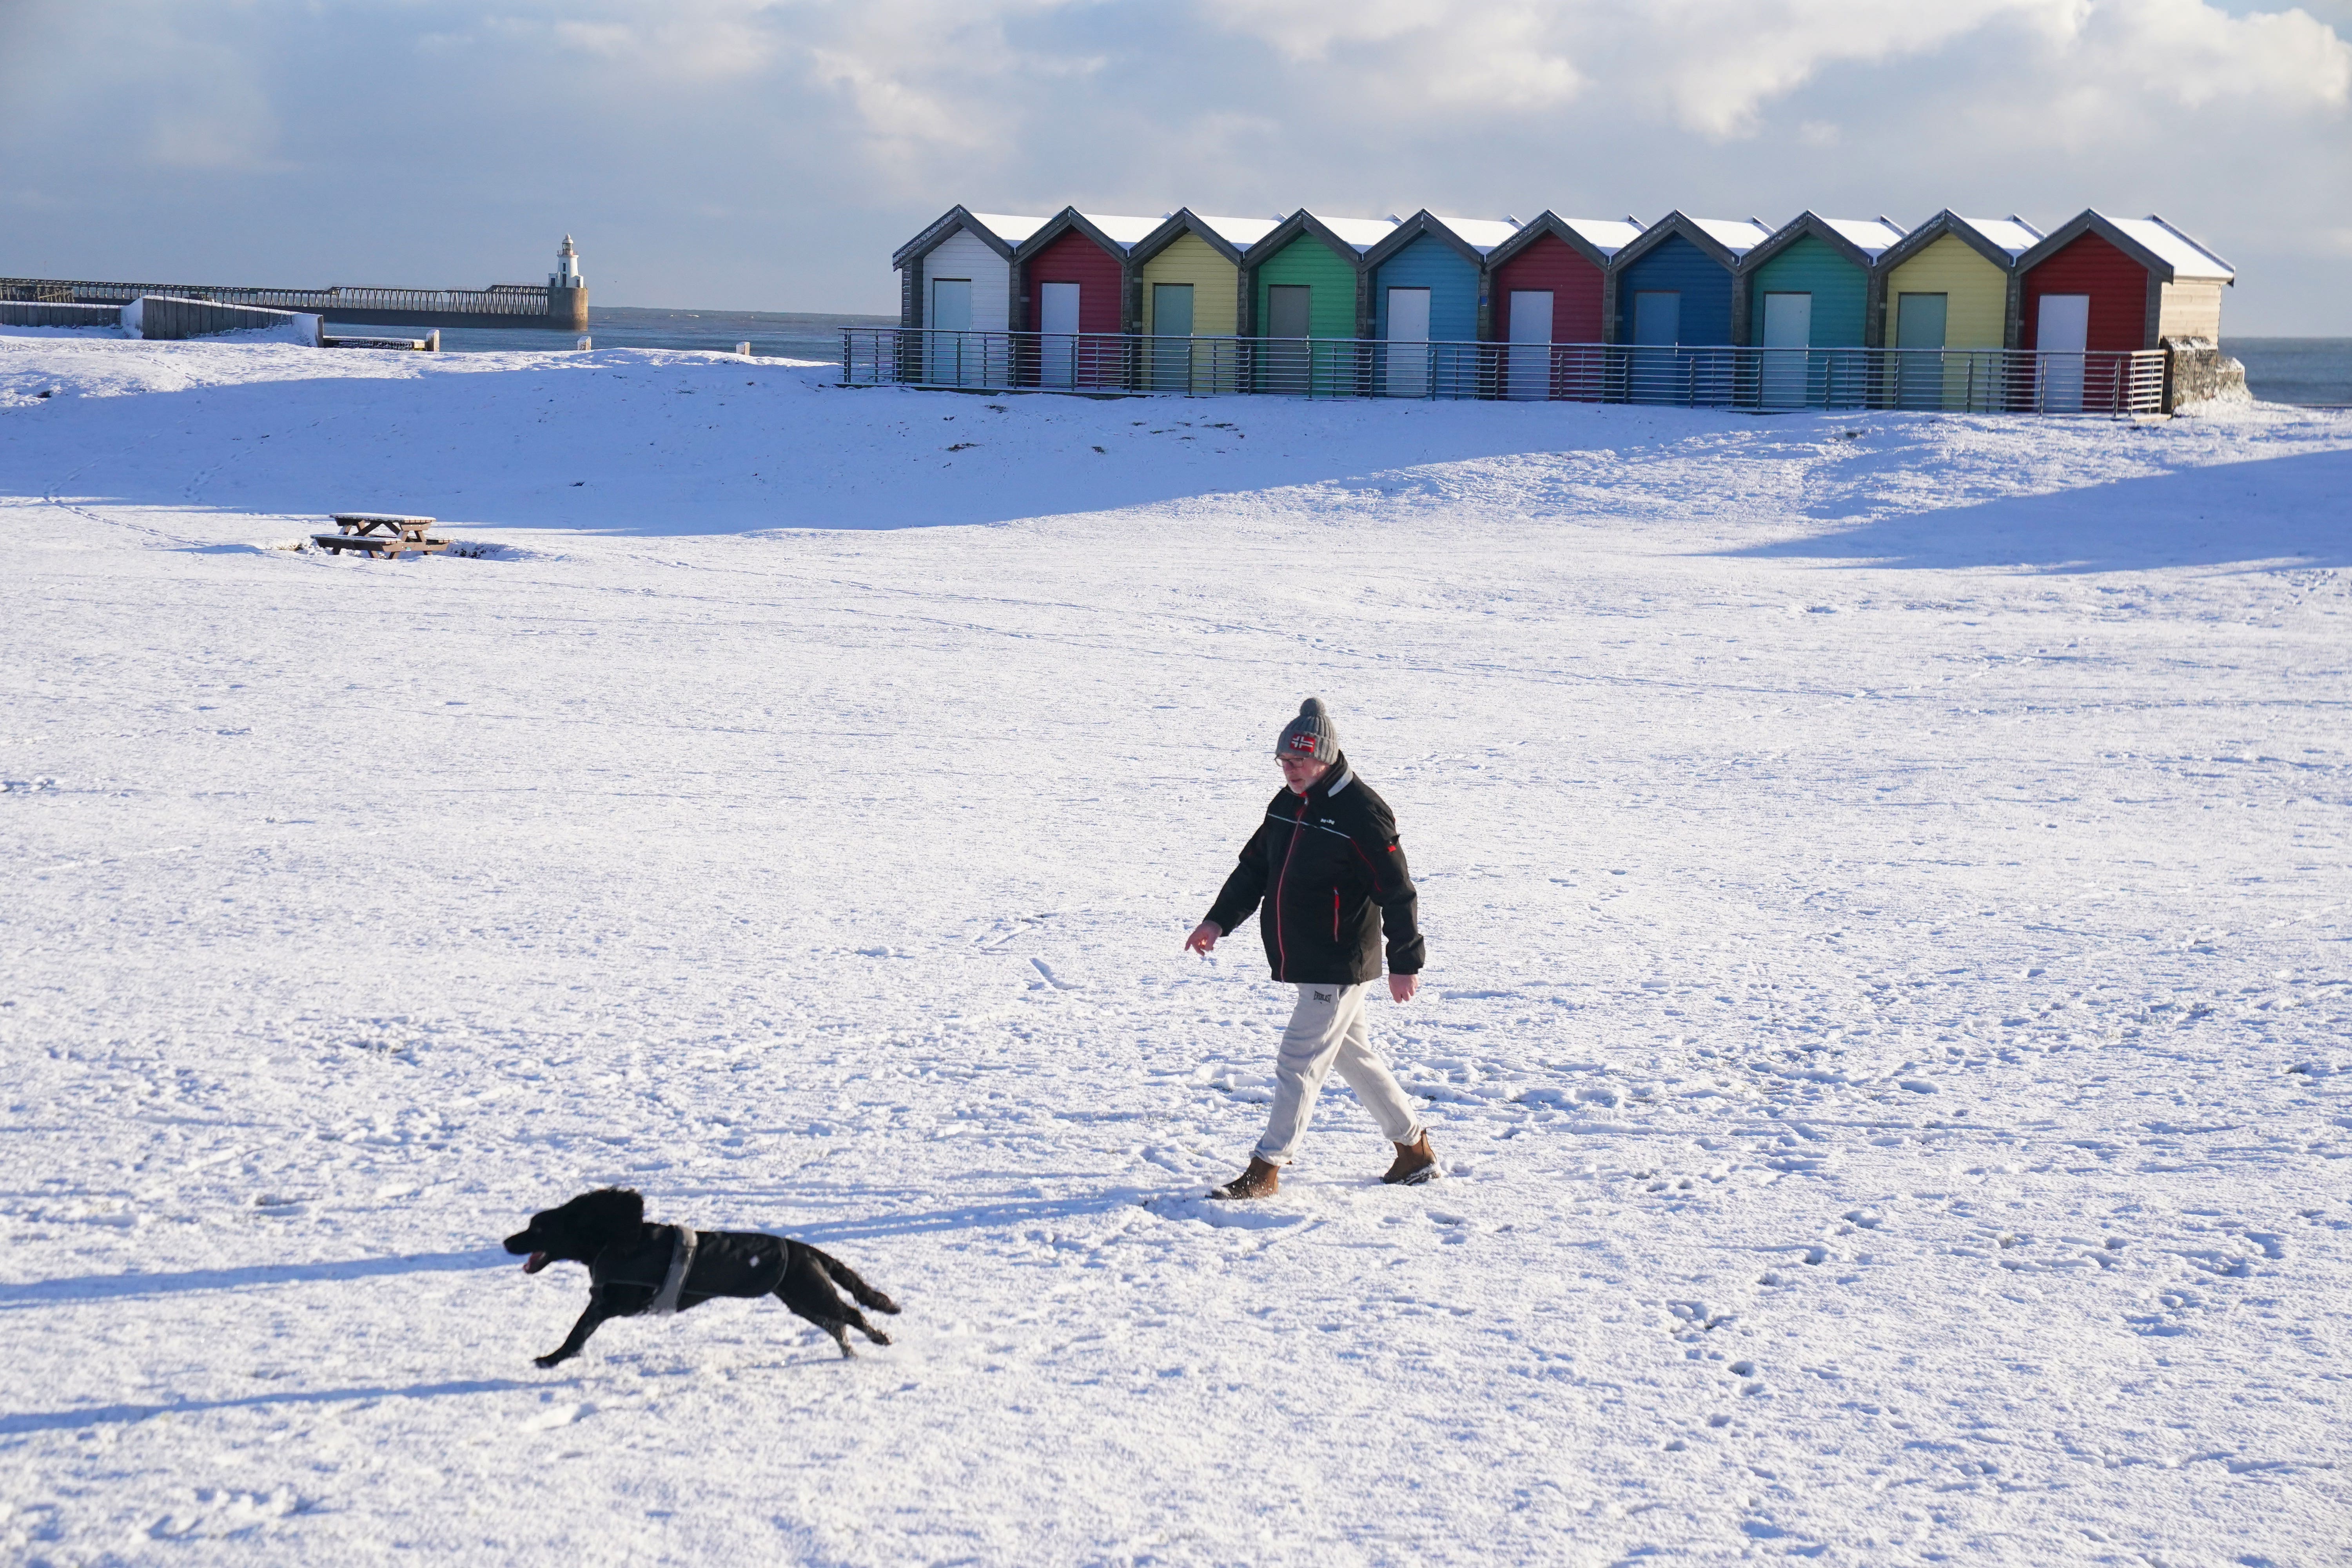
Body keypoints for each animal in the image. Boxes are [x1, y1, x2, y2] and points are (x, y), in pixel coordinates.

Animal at [506, 1189, 898, 1363]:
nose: (507, 1242)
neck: (613, 1239)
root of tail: (804, 1249)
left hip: (809, 1291)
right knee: (838, 1324)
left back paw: (880, 1339)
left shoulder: (611, 1302)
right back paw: (851, 1354)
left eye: (537, 1229)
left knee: (852, 1314)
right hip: (800, 1299)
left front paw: (552, 1358)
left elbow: (579, 1330)